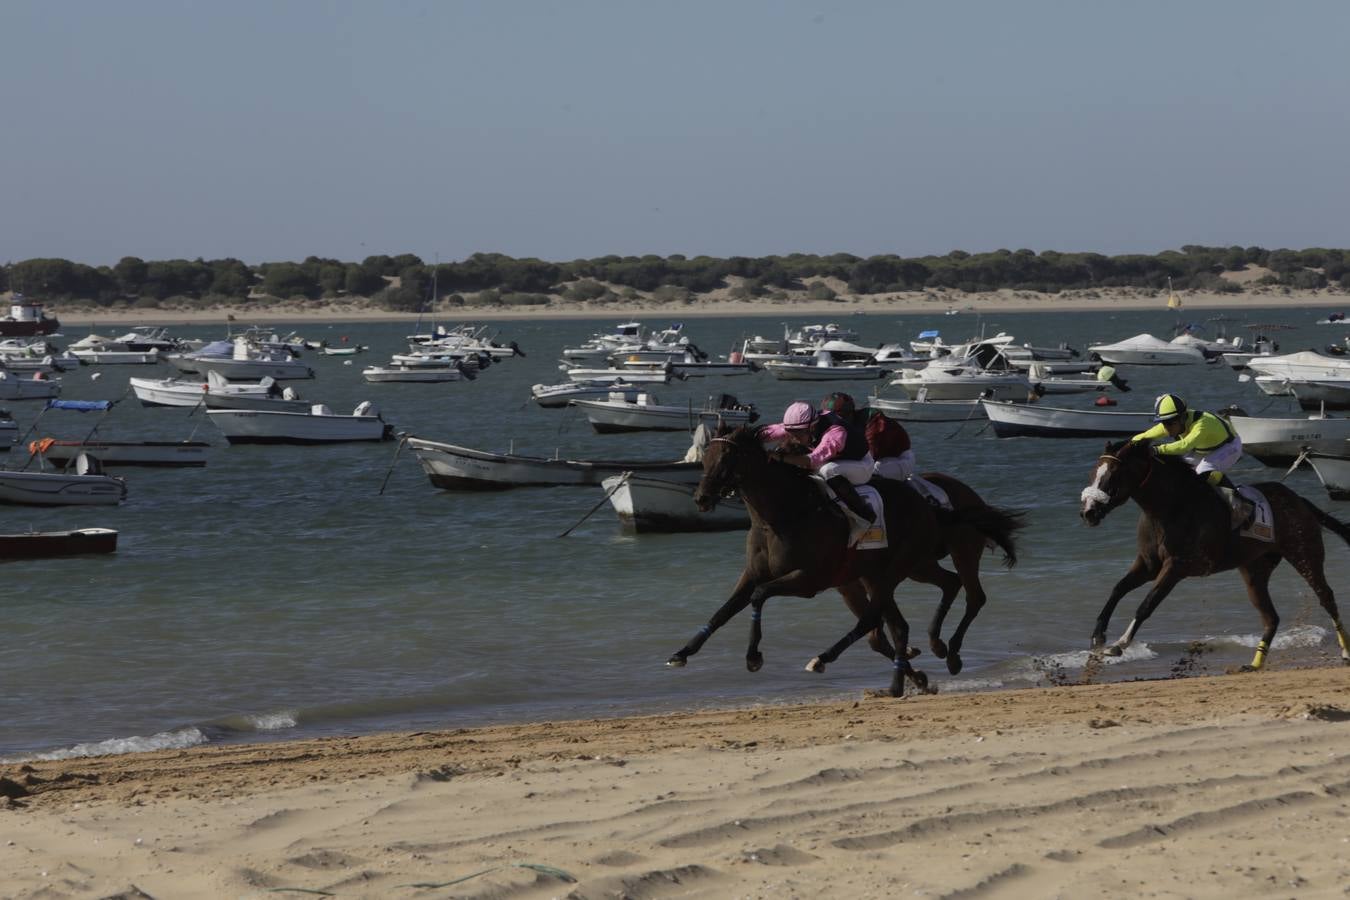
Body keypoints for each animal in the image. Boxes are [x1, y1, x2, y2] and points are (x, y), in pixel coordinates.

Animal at [664, 426, 1020, 696]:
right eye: (704, 459)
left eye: (726, 459)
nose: (701, 498)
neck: (783, 514)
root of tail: (931, 505)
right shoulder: (755, 573)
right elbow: (723, 611)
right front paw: (681, 653)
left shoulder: (810, 579)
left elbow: (759, 596)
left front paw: (753, 657)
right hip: (903, 570)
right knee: (913, 611)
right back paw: (921, 663)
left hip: (924, 560)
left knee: (958, 599)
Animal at [1080, 439, 1350, 666]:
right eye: (1093, 473)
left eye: (1113, 476)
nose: (1088, 512)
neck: (1169, 507)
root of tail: (1299, 500)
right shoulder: (1148, 564)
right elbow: (1118, 589)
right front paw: (1098, 637)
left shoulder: (1177, 566)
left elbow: (1147, 604)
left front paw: (1119, 644)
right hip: (1254, 570)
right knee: (1271, 617)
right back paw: (1254, 665)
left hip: (1304, 554)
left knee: (1326, 597)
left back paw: (1345, 651)